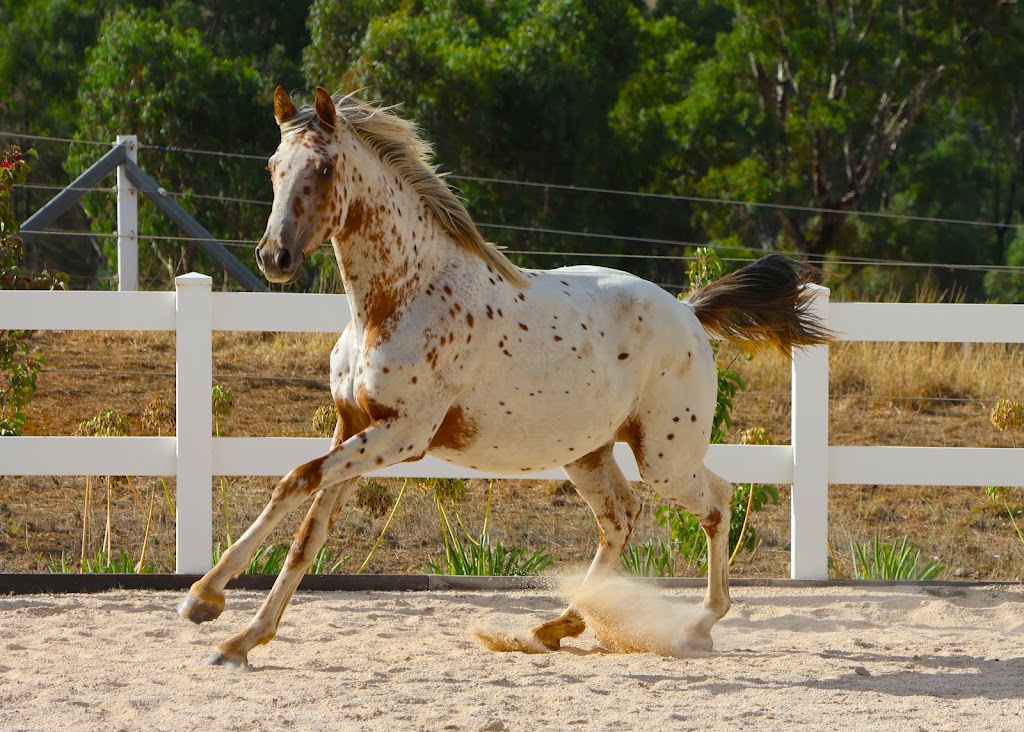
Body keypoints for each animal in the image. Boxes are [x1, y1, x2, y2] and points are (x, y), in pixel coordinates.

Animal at [178, 86, 832, 669]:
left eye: (324, 166)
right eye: (272, 167)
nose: (274, 258)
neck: (396, 300)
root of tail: (689, 313)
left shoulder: (401, 435)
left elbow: (295, 482)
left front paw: (205, 599)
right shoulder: (354, 427)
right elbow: (308, 529)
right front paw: (239, 637)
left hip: (665, 457)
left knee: (717, 500)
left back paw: (697, 624)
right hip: (588, 452)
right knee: (621, 518)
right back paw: (553, 627)